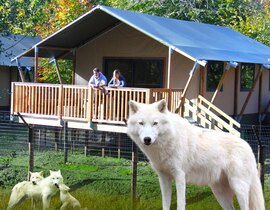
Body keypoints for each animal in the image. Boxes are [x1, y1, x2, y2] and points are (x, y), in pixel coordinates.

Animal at [127, 99, 264, 210]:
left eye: (155, 123)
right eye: (141, 123)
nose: (147, 139)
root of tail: (248, 146)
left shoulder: (180, 176)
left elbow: (180, 204)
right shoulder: (163, 178)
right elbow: (165, 204)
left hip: (238, 188)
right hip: (219, 192)